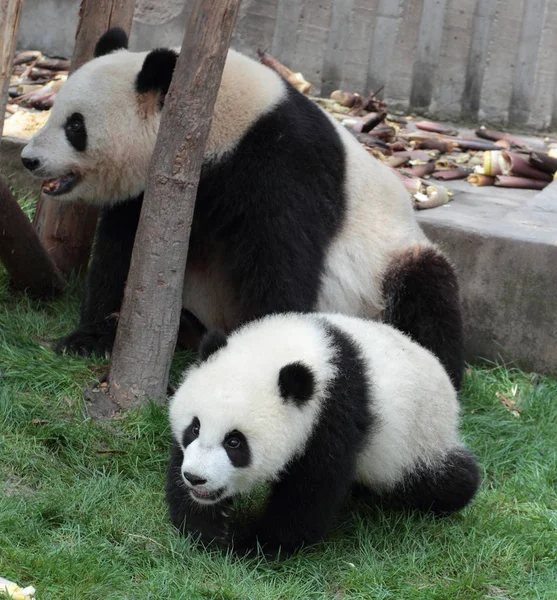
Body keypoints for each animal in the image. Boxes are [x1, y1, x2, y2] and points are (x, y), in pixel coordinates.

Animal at [21, 28, 462, 386]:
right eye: (53, 112)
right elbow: (124, 255)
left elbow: (280, 263)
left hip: (386, 263)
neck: (214, 125)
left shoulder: (281, 164)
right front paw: (90, 338)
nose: (29, 159)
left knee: (427, 291)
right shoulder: (153, 192)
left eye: (75, 126)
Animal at [165, 312, 478, 560]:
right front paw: (206, 530)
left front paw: (257, 545)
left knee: (442, 480)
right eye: (194, 428)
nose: (196, 478)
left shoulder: (333, 413)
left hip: (419, 439)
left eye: (234, 441)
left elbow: (312, 488)